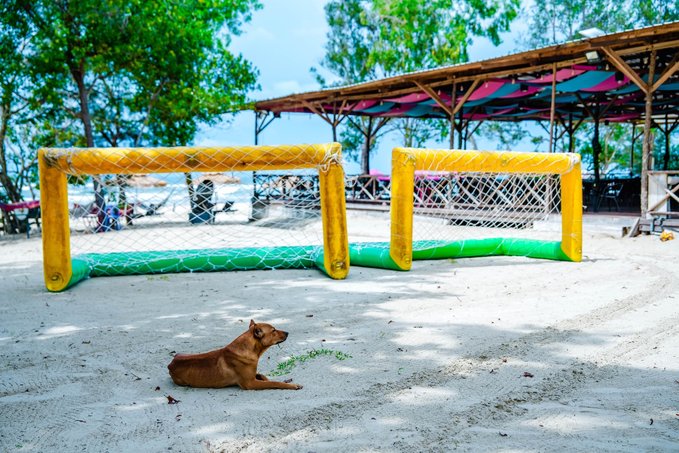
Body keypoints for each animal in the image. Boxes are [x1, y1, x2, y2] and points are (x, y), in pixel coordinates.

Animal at [167, 320, 302, 390]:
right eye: (273, 330)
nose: (288, 333)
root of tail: (171, 363)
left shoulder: (253, 376)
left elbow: (264, 376)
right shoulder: (250, 383)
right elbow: (274, 383)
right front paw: (291, 385)